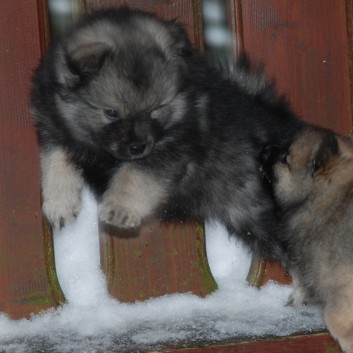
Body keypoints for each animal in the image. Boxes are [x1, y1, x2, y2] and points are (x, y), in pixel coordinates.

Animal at [31, 5, 302, 258]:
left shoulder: (170, 150)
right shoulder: (53, 127)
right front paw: (59, 203)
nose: (138, 147)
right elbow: (55, 162)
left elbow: (135, 175)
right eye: (112, 112)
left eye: (157, 109)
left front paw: (120, 208)